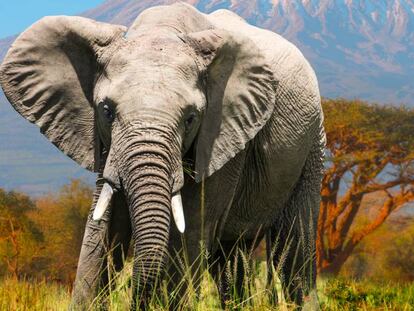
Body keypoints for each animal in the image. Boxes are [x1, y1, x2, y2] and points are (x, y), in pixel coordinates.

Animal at [0, 1, 324, 310]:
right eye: (106, 111)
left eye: (191, 118)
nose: (136, 299)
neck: (163, 30)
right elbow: (103, 228)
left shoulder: (223, 138)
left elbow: (189, 230)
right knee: (231, 258)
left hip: (312, 141)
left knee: (293, 250)